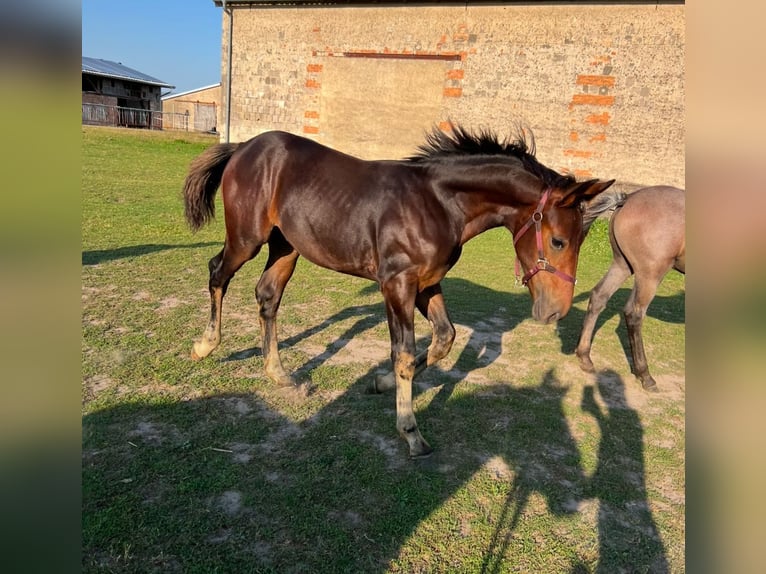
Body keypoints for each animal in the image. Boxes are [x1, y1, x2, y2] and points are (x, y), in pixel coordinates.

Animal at [183, 126, 616, 460]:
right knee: (218, 272)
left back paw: (280, 375)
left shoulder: (427, 284)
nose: (555, 311)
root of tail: (244, 146)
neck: (437, 203)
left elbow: (443, 339)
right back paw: (205, 345)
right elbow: (405, 353)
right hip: (247, 238)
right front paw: (411, 432)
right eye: (558, 241)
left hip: (285, 247)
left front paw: (381, 383)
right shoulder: (397, 284)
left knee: (268, 295)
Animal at [580, 187, 688, 394]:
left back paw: (584, 357)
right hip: (650, 275)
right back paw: (645, 375)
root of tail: (627, 198)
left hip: (622, 264)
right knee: (634, 313)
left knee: (598, 296)